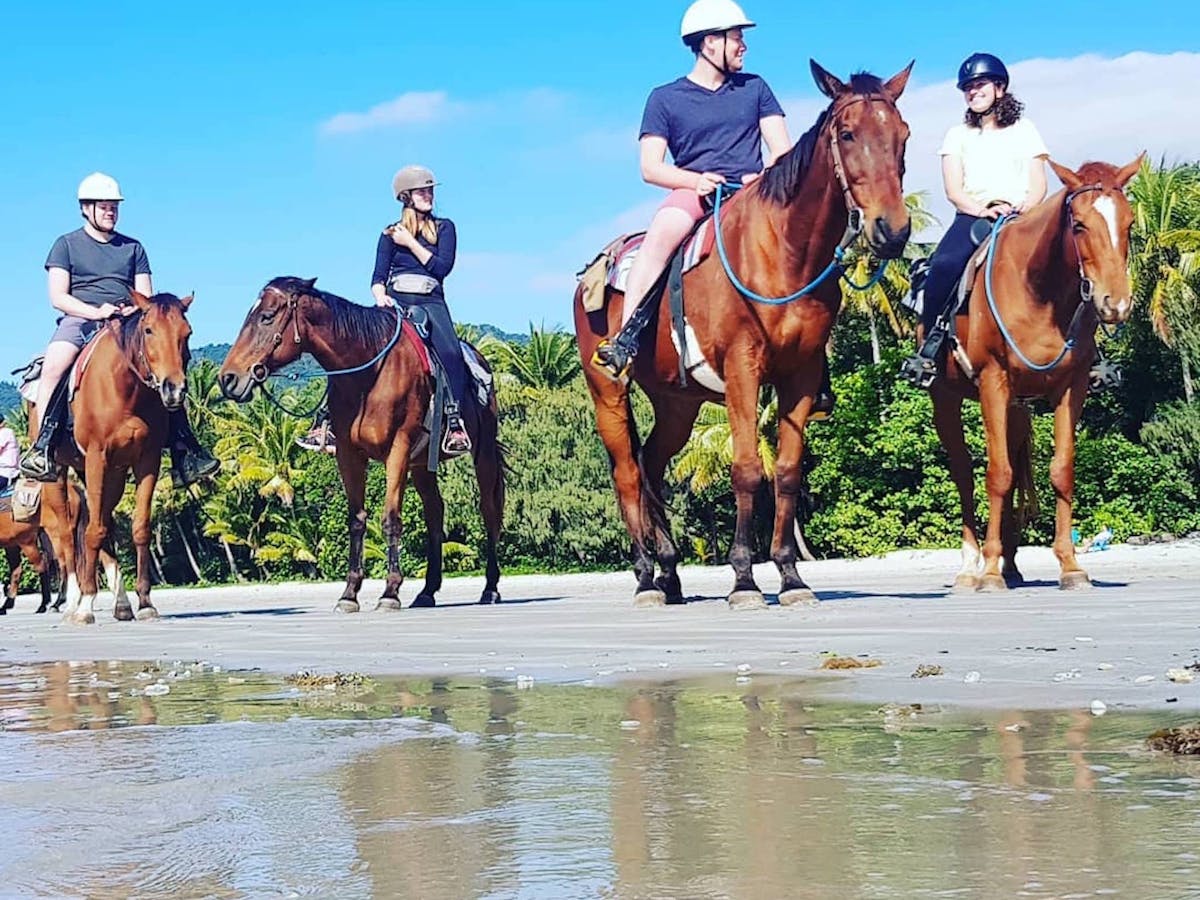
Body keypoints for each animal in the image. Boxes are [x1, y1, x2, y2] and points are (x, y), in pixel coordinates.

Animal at [34, 291, 197, 624]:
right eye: (148, 330)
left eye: (187, 333)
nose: (174, 389)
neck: (126, 389)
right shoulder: (97, 457)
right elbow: (92, 532)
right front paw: (85, 605)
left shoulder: (146, 460)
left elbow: (139, 527)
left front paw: (145, 601)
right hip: (60, 478)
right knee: (69, 539)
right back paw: (73, 602)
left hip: (111, 474)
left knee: (105, 523)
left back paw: (120, 603)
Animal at [217, 277, 506, 611]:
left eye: (266, 317)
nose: (228, 378)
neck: (369, 373)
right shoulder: (348, 454)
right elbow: (356, 520)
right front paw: (349, 593)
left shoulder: (398, 448)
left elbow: (390, 518)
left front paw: (390, 591)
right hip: (423, 464)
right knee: (435, 512)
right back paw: (427, 591)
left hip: (483, 454)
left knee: (488, 511)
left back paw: (490, 588)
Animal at [574, 62, 913, 609]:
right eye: (847, 133)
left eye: (903, 135)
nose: (893, 230)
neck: (783, 252)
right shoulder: (741, 371)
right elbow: (747, 468)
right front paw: (744, 579)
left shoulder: (800, 376)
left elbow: (788, 473)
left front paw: (791, 577)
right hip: (607, 389)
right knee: (626, 473)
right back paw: (646, 577)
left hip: (677, 402)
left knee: (651, 464)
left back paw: (670, 572)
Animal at [927, 155, 1144, 592]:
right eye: (1079, 225)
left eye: (1129, 223)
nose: (1115, 304)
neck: (1039, 292)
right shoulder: (992, 382)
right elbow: (996, 474)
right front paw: (988, 572)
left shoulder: (1070, 388)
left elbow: (1060, 470)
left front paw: (1070, 565)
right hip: (947, 398)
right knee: (963, 473)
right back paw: (972, 567)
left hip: (1015, 408)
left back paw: (1011, 565)